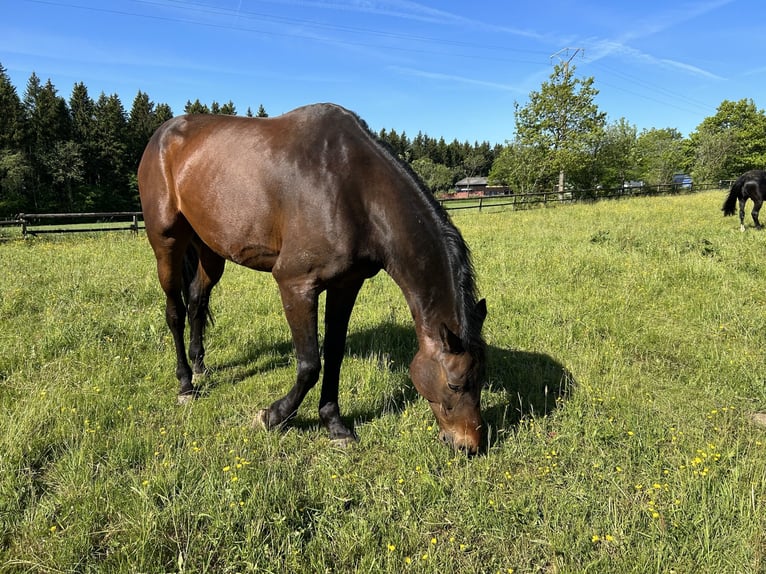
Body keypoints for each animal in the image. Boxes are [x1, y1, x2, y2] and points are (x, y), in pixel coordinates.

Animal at [137, 102, 486, 454]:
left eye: (481, 379)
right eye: (455, 384)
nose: (469, 445)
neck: (354, 189)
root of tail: (163, 134)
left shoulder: (346, 284)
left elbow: (333, 355)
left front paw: (335, 424)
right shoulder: (296, 285)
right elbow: (309, 365)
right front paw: (272, 416)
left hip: (210, 250)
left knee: (197, 301)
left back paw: (200, 367)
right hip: (166, 242)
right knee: (175, 312)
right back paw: (185, 384)